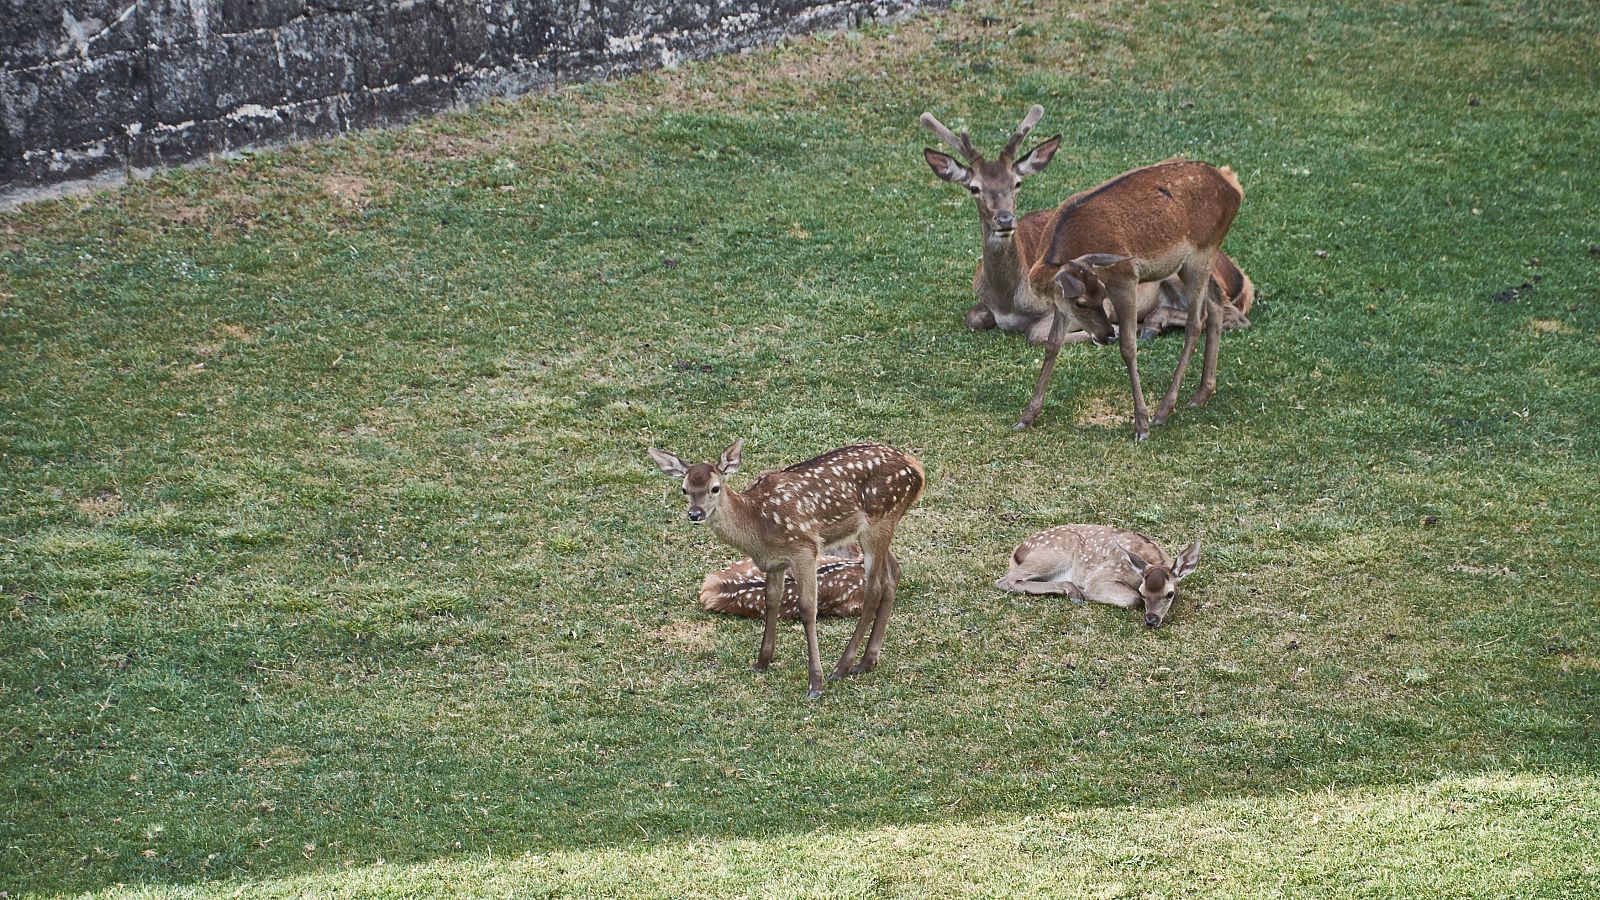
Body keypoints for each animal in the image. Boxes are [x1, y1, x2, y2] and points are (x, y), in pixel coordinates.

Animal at [649, 438, 928, 698]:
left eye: (714, 488)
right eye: (684, 489)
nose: (695, 513)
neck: (758, 527)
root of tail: (917, 469)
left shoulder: (804, 548)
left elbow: (807, 610)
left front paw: (815, 683)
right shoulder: (774, 562)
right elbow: (771, 601)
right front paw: (761, 662)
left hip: (878, 521)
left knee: (875, 588)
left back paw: (842, 667)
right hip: (877, 527)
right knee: (893, 573)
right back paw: (867, 661)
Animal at [921, 104, 1254, 342]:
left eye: (1017, 183)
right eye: (974, 188)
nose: (1004, 219)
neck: (1010, 299)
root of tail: (1241, 281)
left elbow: (1036, 333)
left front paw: (1114, 329)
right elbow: (974, 317)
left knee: (1230, 316)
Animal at [998, 522, 1203, 627]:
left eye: (1170, 594)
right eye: (1143, 592)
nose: (1151, 620)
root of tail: (1016, 552)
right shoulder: (1102, 575)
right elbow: (1131, 598)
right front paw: (1084, 591)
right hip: (1056, 553)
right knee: (1005, 581)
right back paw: (1074, 591)